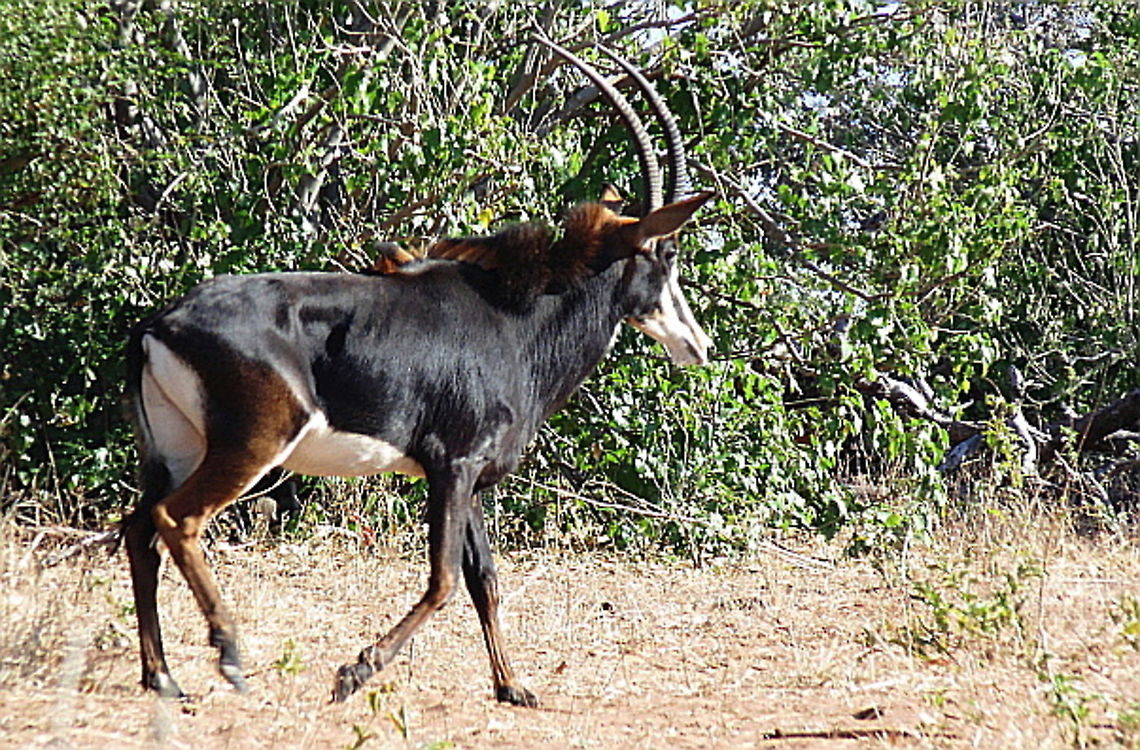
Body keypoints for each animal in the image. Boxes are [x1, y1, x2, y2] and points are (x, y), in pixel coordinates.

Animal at [121, 32, 713, 707]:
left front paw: (513, 687)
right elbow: (445, 578)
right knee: (178, 520)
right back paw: (230, 655)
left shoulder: (475, 477)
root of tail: (161, 323)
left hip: (178, 449)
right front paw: (356, 671)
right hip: (252, 446)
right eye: (665, 255)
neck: (513, 317)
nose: (696, 344)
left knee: (138, 529)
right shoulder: (452, 464)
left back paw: (163, 677)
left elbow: (485, 578)